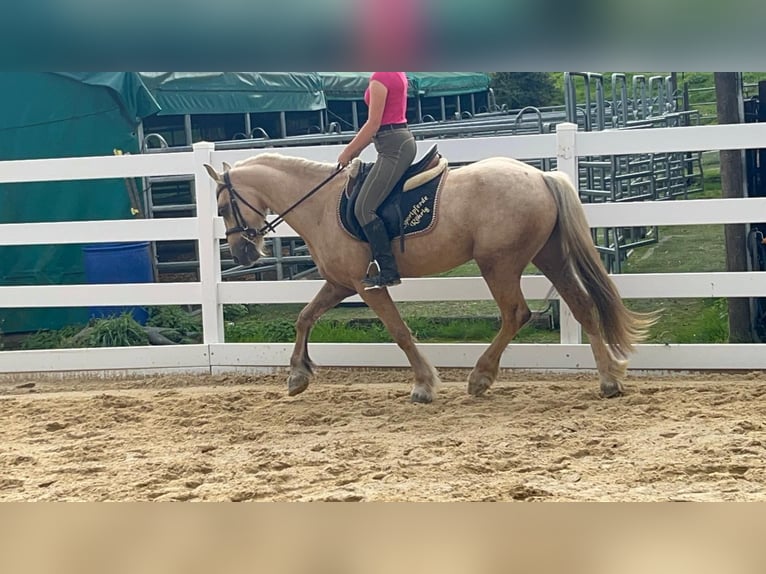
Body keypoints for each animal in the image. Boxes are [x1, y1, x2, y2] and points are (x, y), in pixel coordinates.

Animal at [204, 151, 656, 403]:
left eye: (223, 207)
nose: (243, 253)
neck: (321, 204)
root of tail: (540, 176)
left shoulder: (367, 285)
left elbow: (400, 333)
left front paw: (423, 386)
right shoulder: (340, 283)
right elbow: (304, 318)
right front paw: (298, 376)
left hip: (499, 264)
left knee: (515, 313)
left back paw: (480, 378)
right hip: (549, 257)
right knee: (581, 306)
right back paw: (608, 381)